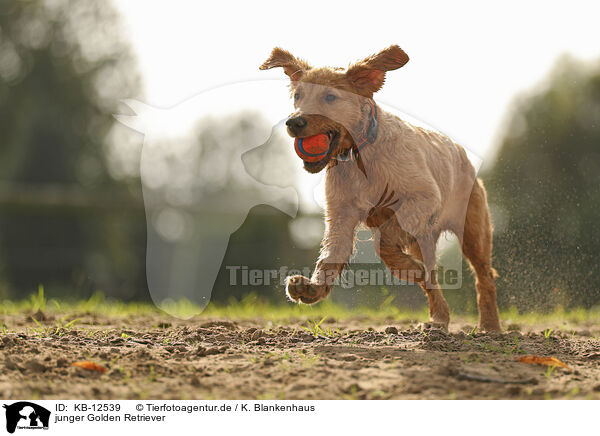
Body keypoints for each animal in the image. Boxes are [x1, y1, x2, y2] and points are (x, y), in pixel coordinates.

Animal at [260, 45, 500, 330]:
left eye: (330, 97)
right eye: (298, 95)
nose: (294, 123)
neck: (359, 155)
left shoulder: (423, 197)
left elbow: (384, 242)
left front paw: (408, 268)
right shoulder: (341, 215)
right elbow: (330, 256)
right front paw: (312, 288)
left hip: (473, 231)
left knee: (484, 276)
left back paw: (490, 325)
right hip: (424, 239)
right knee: (432, 277)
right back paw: (438, 317)